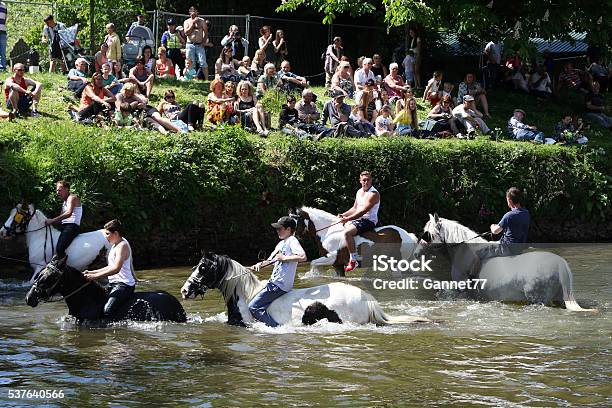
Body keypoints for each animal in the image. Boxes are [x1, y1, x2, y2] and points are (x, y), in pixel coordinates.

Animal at [290, 207, 418, 278]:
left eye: (296, 220)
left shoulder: (331, 258)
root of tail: (408, 235)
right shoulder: (337, 264)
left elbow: (313, 263)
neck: (328, 232)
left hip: (395, 264)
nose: (295, 237)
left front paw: (312, 275)